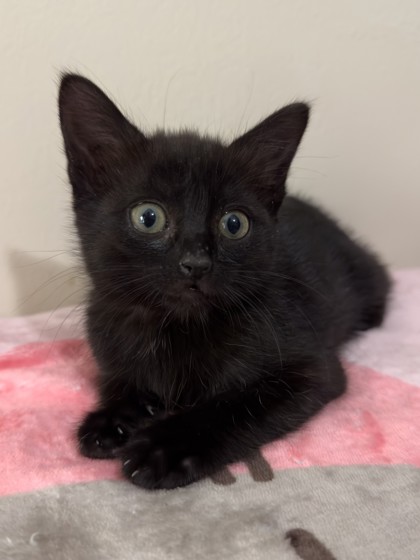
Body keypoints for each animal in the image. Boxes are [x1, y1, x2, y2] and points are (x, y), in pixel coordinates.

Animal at [59, 75, 390, 490]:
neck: (176, 329)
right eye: (148, 217)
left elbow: (233, 406)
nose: (196, 263)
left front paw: (164, 446)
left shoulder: (313, 369)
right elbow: (121, 382)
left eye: (234, 224)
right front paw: (113, 419)